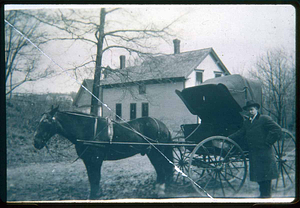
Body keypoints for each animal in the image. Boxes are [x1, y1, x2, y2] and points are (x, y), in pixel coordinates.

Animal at [33, 106, 173, 199]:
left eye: (45, 122)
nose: (36, 142)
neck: (87, 129)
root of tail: (162, 125)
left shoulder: (96, 159)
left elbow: (95, 179)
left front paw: (94, 196)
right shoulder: (88, 161)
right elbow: (92, 179)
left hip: (156, 153)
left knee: (163, 170)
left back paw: (160, 192)